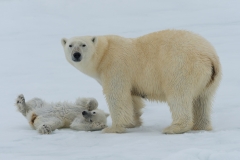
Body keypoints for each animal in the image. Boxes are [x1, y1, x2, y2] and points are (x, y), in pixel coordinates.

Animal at [61, 29, 221, 134]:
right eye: (70, 45)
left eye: (83, 45)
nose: (76, 55)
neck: (104, 53)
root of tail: (209, 56)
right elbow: (132, 98)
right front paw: (132, 122)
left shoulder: (116, 67)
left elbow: (117, 96)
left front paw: (112, 128)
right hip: (210, 79)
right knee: (202, 100)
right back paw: (201, 126)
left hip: (181, 68)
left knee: (179, 96)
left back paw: (174, 128)